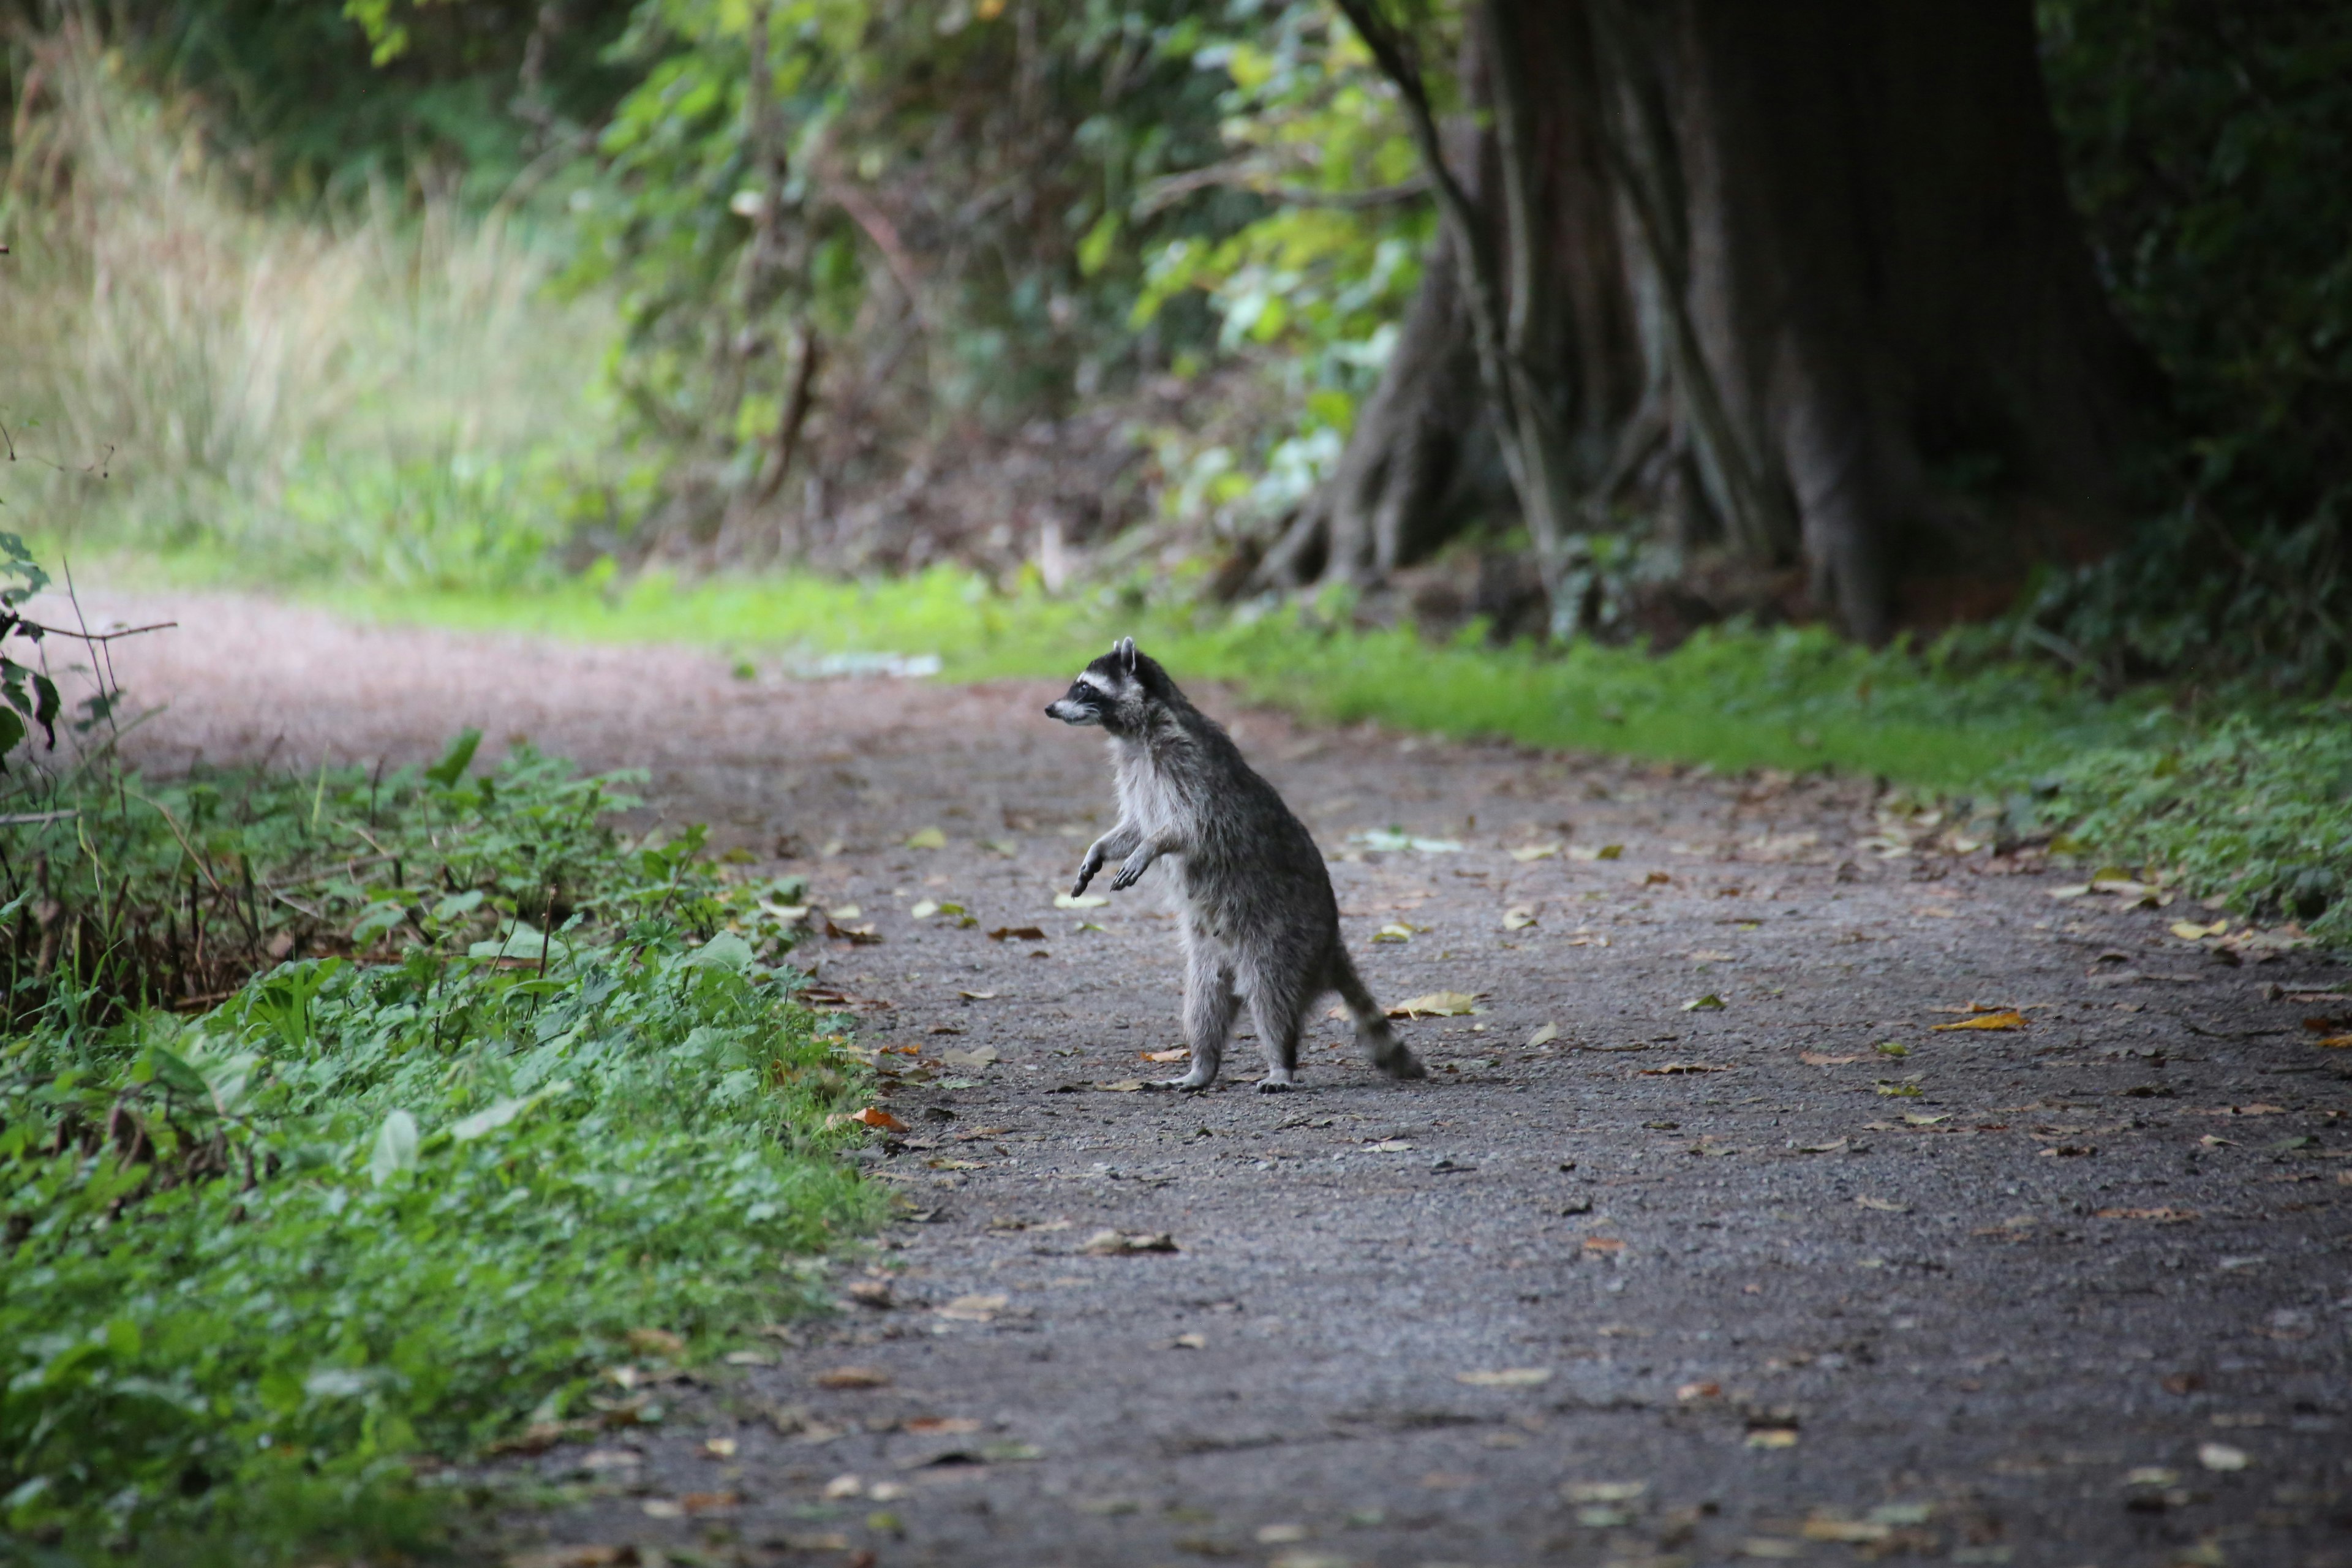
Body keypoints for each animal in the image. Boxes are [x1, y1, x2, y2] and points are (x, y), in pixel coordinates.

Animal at [1044, 639, 1411, 1090]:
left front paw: (1152, 846)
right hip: (1210, 956)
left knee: (1272, 997)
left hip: (1282, 938)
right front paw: (1100, 848)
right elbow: (1133, 825)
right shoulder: (1134, 771)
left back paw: (1280, 1062)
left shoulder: (1190, 765)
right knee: (1205, 1004)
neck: (1133, 734)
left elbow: (1189, 828)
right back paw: (1201, 1065)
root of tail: (1330, 941)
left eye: (1084, 687)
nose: (1050, 708)